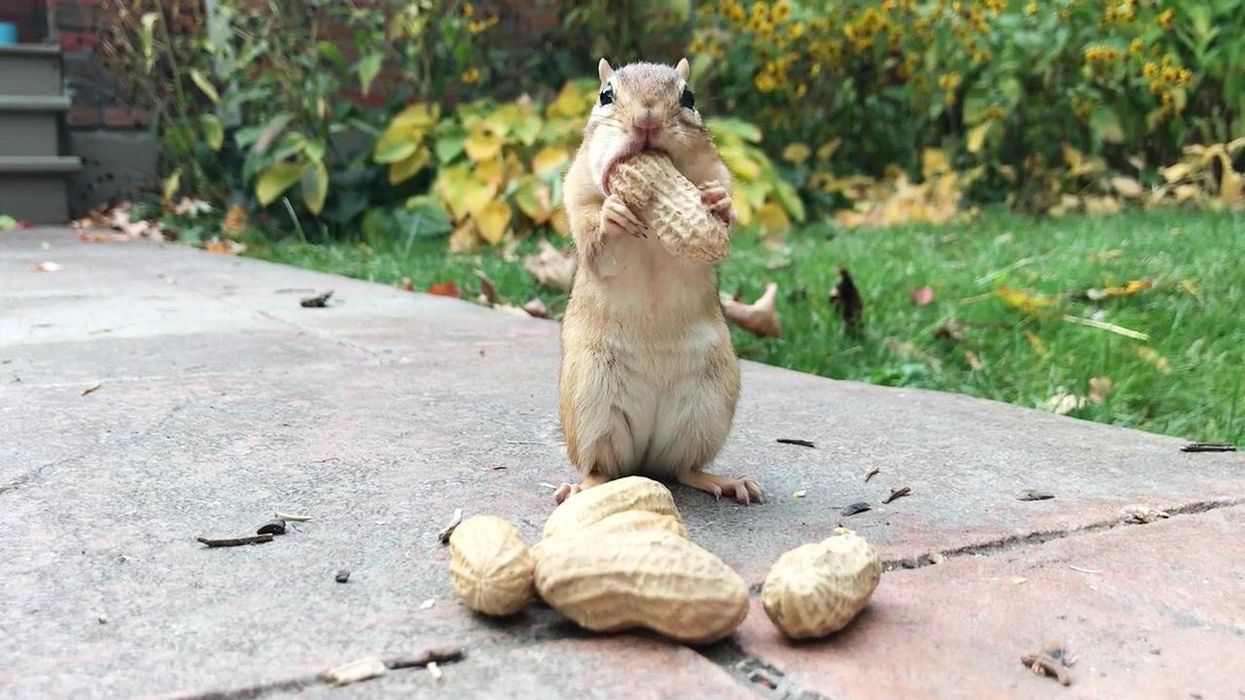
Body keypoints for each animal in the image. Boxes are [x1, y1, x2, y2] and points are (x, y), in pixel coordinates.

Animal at [553, 57, 764, 506]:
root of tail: (646, 461)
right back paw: (583, 486)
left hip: (708, 406)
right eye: (606, 95)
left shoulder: (718, 177)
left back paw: (724, 481)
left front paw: (718, 204)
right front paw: (613, 214)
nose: (647, 119)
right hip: (591, 402)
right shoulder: (576, 198)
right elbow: (597, 246)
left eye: (689, 97)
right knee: (602, 468)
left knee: (685, 468)